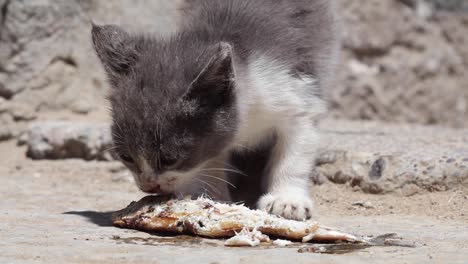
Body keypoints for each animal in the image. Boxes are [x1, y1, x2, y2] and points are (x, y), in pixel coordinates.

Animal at [91, 0, 338, 221]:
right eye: (126, 157)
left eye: (169, 159)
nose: (150, 186)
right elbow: (210, 160)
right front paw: (211, 196)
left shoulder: (298, 97)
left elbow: (294, 155)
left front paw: (286, 200)